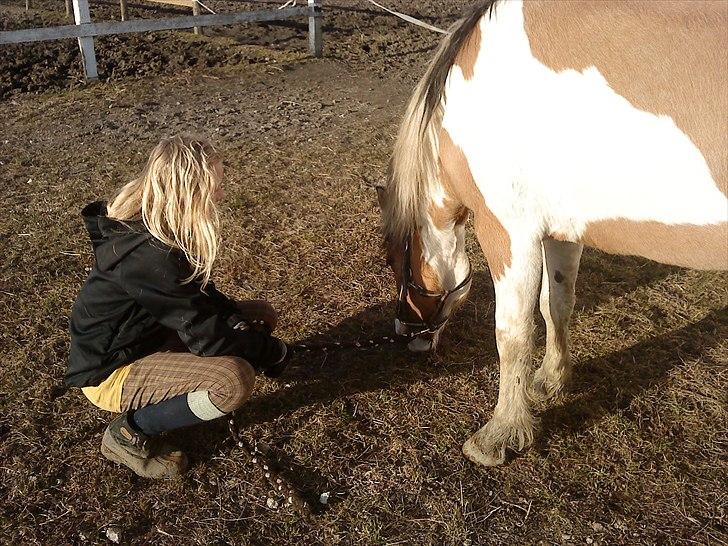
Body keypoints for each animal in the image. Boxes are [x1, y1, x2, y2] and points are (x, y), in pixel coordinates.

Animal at [378, 1, 724, 468]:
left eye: (393, 258)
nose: (405, 335)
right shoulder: (561, 230)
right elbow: (555, 304)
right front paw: (550, 380)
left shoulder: (508, 231)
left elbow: (512, 332)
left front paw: (501, 433)